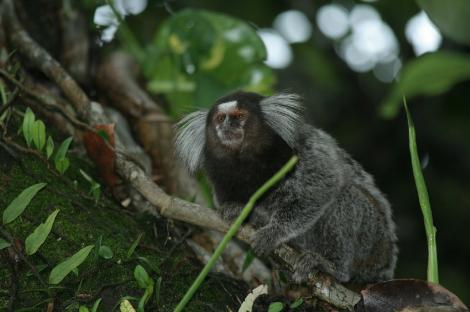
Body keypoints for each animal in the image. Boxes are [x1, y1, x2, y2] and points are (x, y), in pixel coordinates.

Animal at [174, 91, 398, 282]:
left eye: (239, 116)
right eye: (220, 118)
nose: (227, 125)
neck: (245, 161)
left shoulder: (303, 148)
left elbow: (322, 186)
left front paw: (274, 231)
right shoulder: (219, 177)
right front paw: (237, 210)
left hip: (373, 240)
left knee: (344, 197)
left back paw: (331, 266)